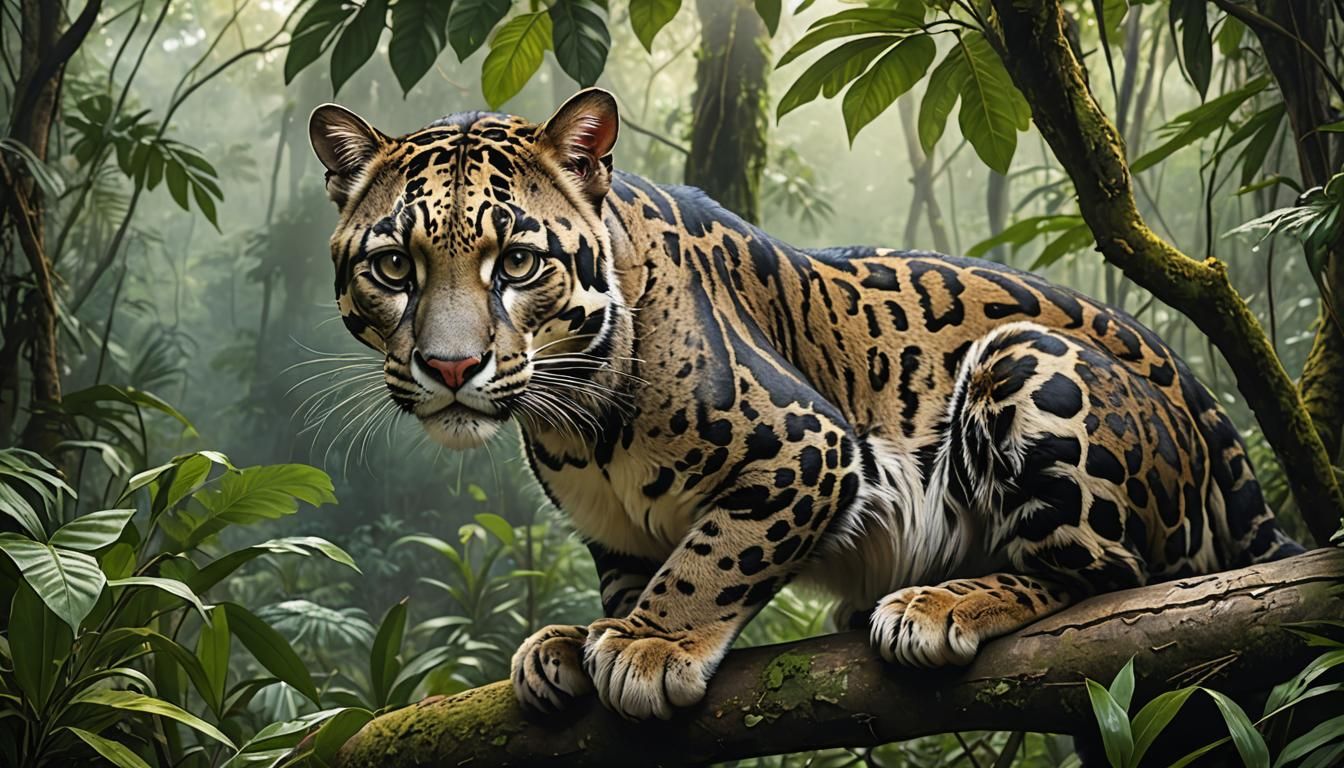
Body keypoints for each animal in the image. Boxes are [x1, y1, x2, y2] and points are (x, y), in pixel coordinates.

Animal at [308, 88, 1302, 721]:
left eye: (517, 262)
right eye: (393, 266)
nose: (451, 366)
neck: (571, 415)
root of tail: (1202, 400)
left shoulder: (811, 447)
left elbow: (712, 556)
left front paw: (649, 646)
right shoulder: (616, 532)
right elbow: (635, 571)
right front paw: (579, 638)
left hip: (1021, 362)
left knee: (1110, 577)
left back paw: (936, 603)